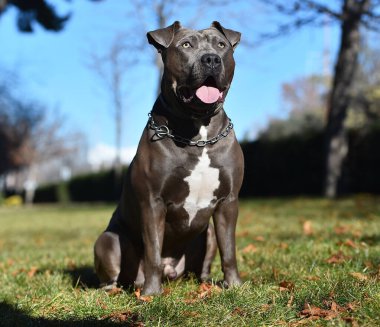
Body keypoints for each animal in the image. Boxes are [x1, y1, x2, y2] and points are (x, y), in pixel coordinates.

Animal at [95, 21, 243, 298]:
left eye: (221, 45)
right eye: (186, 45)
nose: (211, 59)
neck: (198, 133)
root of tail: (171, 270)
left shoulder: (228, 201)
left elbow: (229, 249)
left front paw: (235, 285)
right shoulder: (153, 202)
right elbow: (153, 251)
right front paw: (152, 294)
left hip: (206, 234)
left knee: (204, 261)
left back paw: (206, 282)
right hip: (108, 240)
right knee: (116, 270)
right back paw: (118, 288)